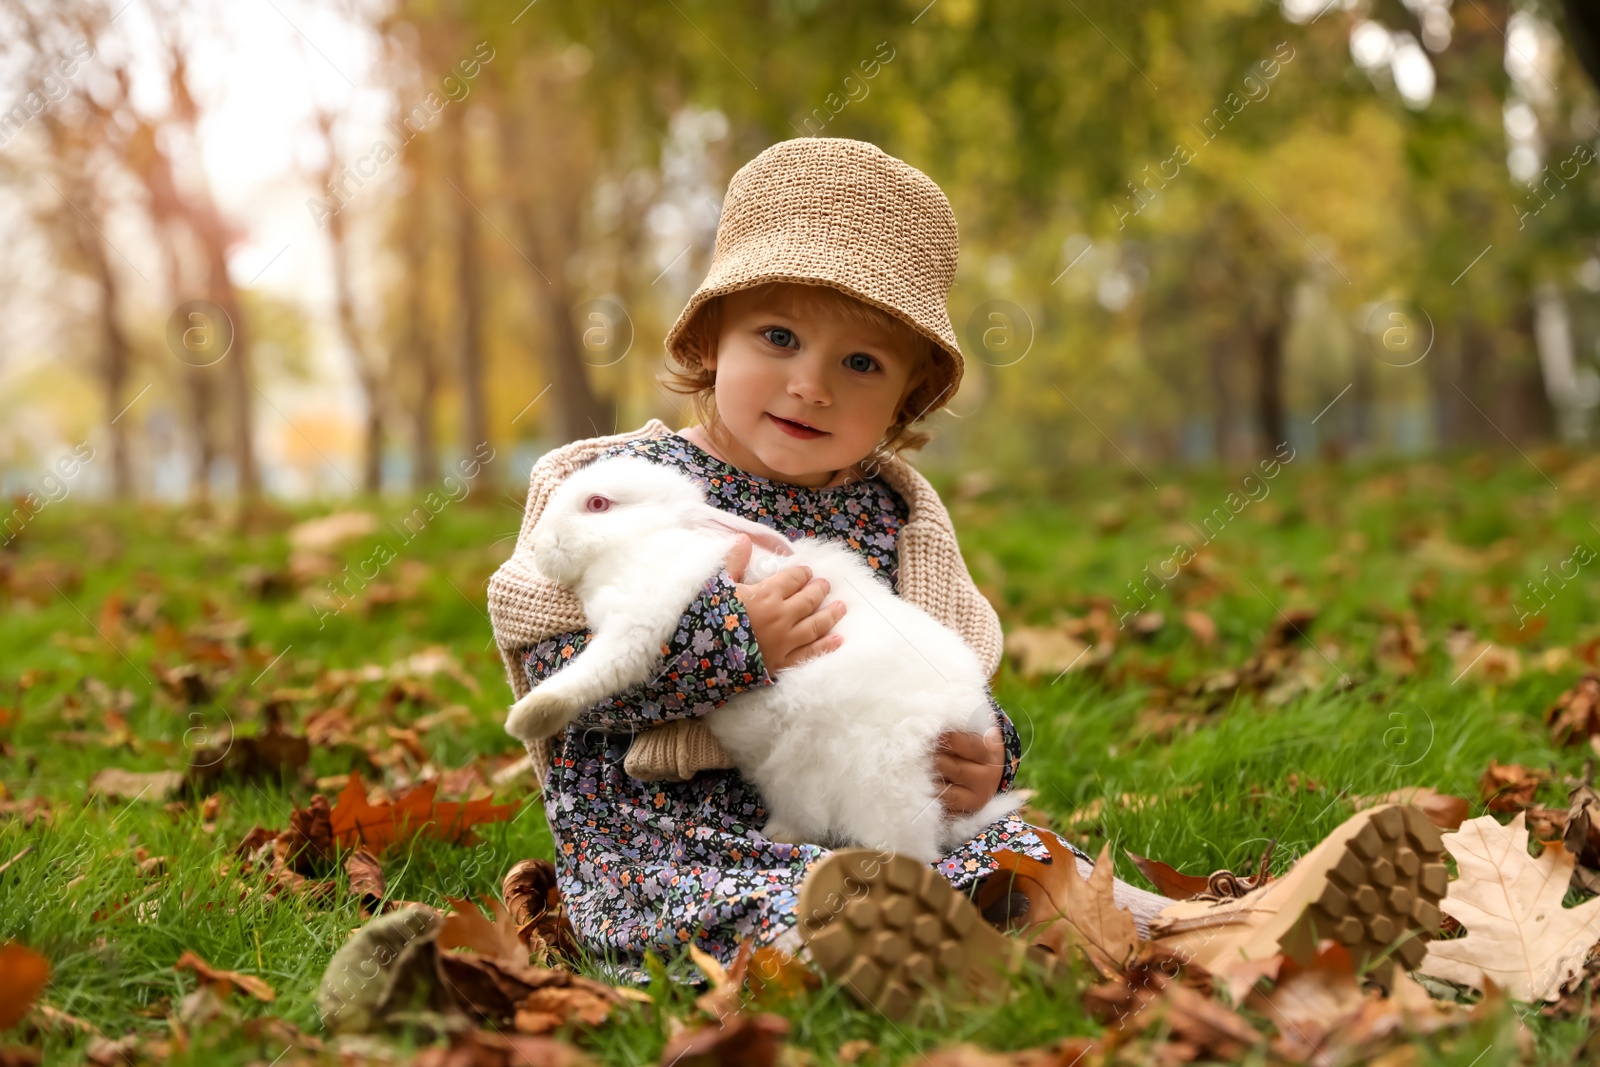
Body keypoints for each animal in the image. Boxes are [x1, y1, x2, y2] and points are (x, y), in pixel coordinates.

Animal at [505, 454, 1017, 863]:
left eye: (597, 504)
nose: (538, 546)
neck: (649, 538)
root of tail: (962, 719)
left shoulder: (645, 620)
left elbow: (595, 672)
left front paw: (527, 718)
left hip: (882, 783)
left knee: (913, 852)